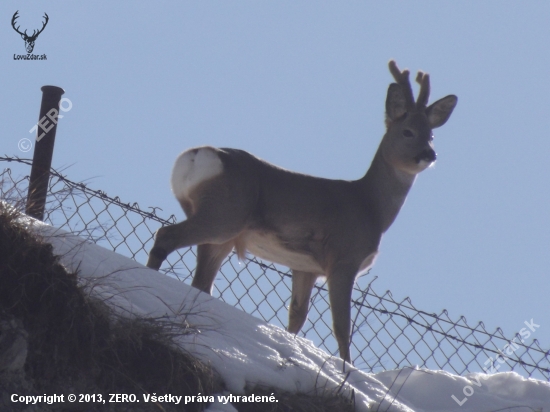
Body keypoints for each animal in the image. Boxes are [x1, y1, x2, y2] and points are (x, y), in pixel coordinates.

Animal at [146, 60, 458, 360]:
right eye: (408, 132)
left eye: (431, 135)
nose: (429, 155)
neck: (372, 208)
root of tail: (196, 156)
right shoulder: (344, 258)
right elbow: (342, 328)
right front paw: (346, 370)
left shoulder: (304, 267)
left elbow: (297, 317)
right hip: (224, 216)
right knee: (165, 235)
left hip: (221, 235)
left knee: (201, 281)